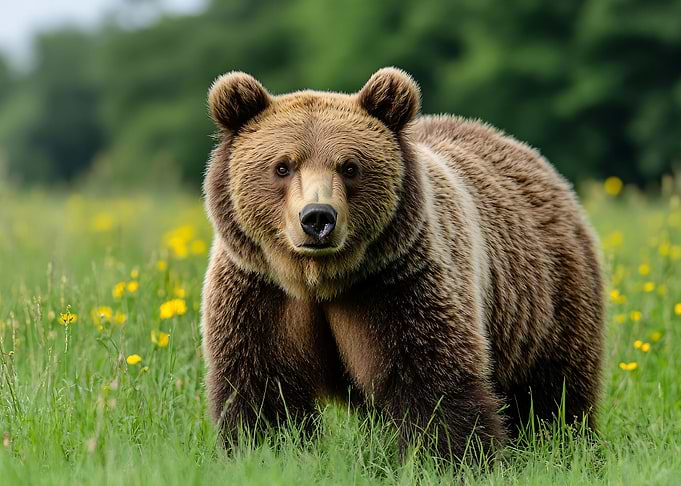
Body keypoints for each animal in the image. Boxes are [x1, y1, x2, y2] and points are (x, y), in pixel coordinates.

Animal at [201, 67, 604, 462]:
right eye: (283, 166)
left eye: (350, 166)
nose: (317, 218)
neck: (319, 279)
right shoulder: (259, 290)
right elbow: (263, 387)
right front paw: (265, 453)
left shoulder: (398, 282)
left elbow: (432, 379)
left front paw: (447, 458)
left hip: (543, 297)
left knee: (551, 390)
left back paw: (563, 442)